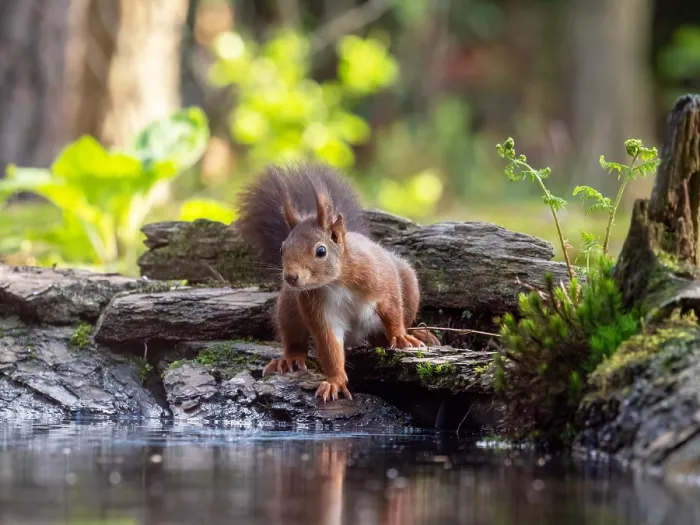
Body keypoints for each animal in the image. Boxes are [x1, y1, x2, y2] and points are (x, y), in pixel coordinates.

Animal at [237, 162, 440, 402]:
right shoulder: (318, 311)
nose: (290, 277)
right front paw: (335, 381)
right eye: (281, 249)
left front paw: (400, 336)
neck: (336, 282)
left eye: (321, 251)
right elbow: (329, 347)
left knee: (389, 328)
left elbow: (391, 311)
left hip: (409, 285)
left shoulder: (381, 280)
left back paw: (416, 333)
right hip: (288, 306)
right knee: (293, 337)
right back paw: (289, 359)